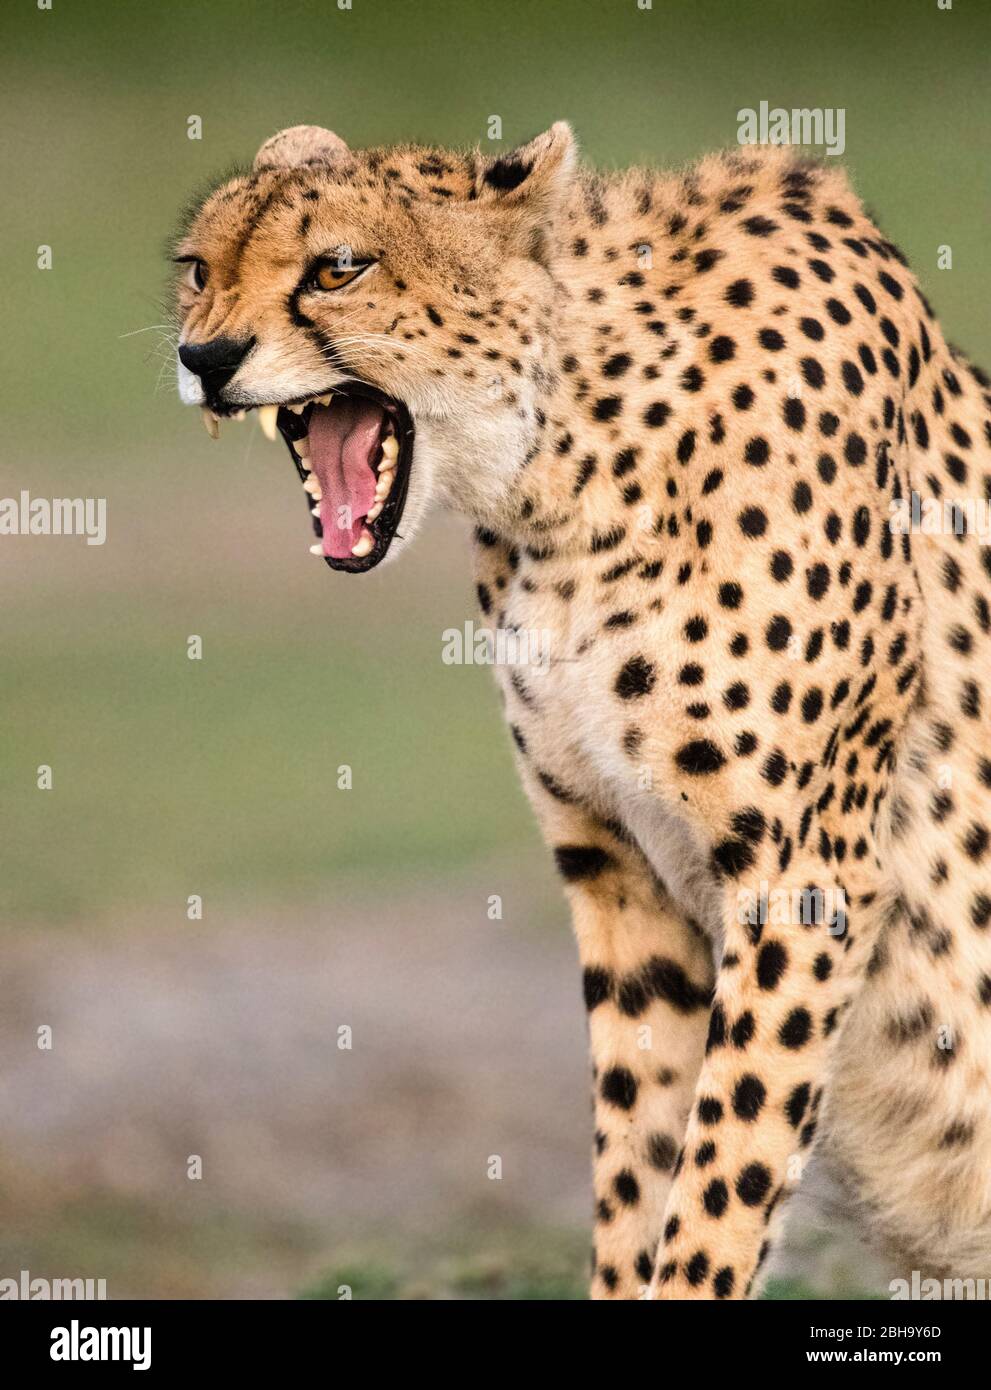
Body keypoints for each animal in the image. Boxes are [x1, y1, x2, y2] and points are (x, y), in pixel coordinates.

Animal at [173, 122, 989, 1301]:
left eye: (337, 268)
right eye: (199, 269)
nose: (204, 359)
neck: (568, 462)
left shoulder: (803, 876)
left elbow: (720, 1179)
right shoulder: (619, 867)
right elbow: (640, 1162)